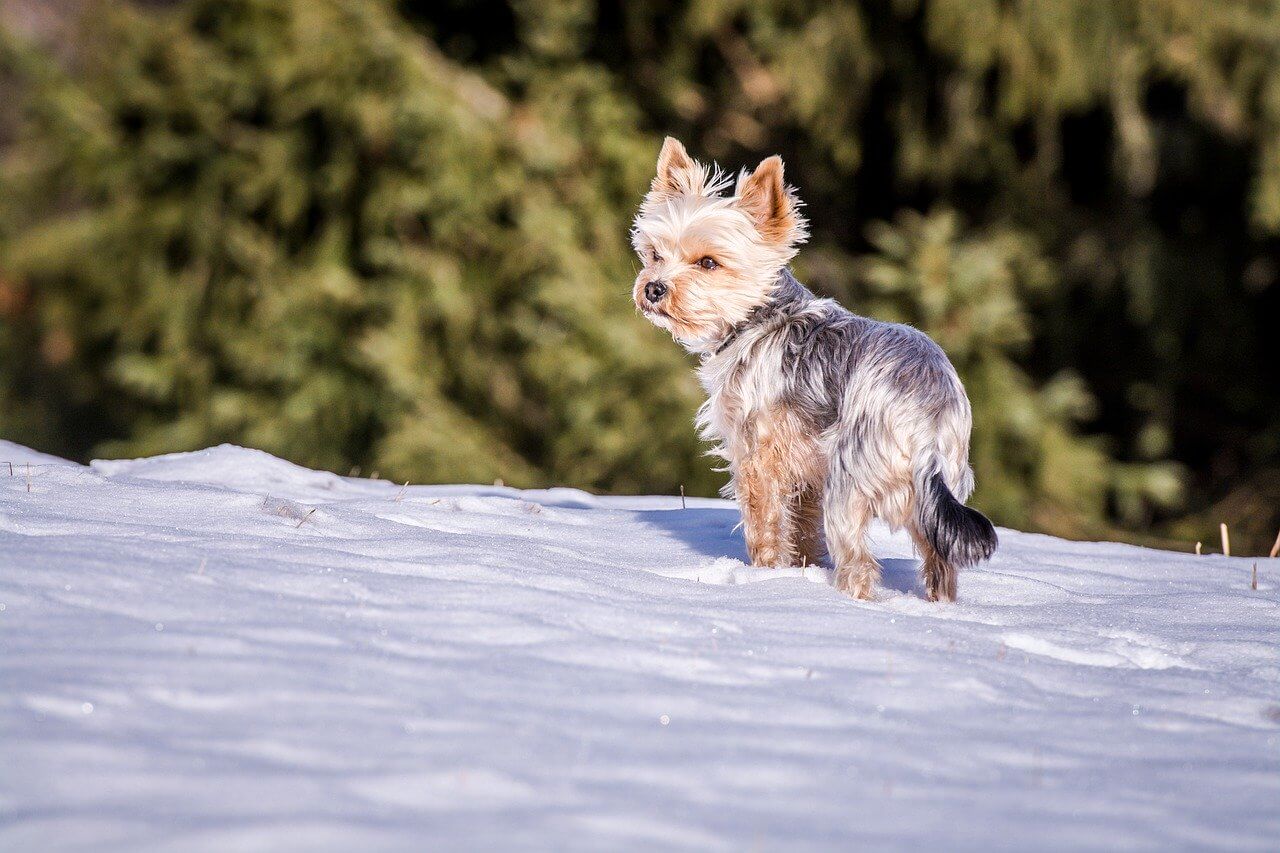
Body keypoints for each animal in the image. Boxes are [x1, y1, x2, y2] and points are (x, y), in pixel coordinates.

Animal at [632, 136, 998, 596]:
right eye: (654, 254)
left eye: (708, 263)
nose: (653, 288)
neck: (757, 316)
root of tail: (926, 420)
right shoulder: (806, 466)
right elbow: (803, 526)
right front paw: (801, 569)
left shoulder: (758, 453)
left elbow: (765, 524)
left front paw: (765, 573)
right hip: (935, 493)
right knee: (940, 564)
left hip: (848, 483)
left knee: (859, 562)